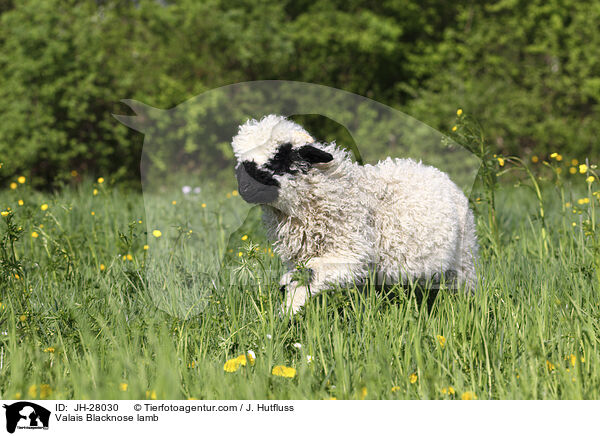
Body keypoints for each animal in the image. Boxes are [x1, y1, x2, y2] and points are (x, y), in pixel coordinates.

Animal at [231, 114, 478, 312]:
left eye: (279, 159)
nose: (244, 187)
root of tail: (437, 172)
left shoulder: (351, 250)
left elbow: (310, 275)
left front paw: (287, 311)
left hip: (464, 256)